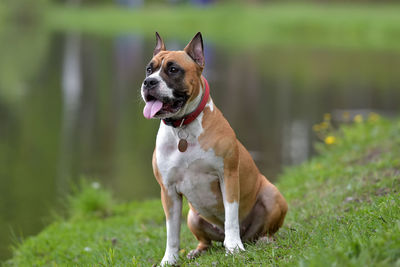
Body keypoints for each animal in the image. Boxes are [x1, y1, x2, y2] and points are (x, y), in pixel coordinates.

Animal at [141, 32, 288, 266]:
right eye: (149, 69)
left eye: (173, 69)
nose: (149, 82)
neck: (183, 127)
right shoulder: (168, 191)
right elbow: (171, 231)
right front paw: (169, 259)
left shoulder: (227, 176)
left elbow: (231, 217)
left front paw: (234, 248)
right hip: (193, 216)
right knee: (206, 241)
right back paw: (198, 251)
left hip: (272, 195)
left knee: (261, 231)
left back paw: (260, 240)